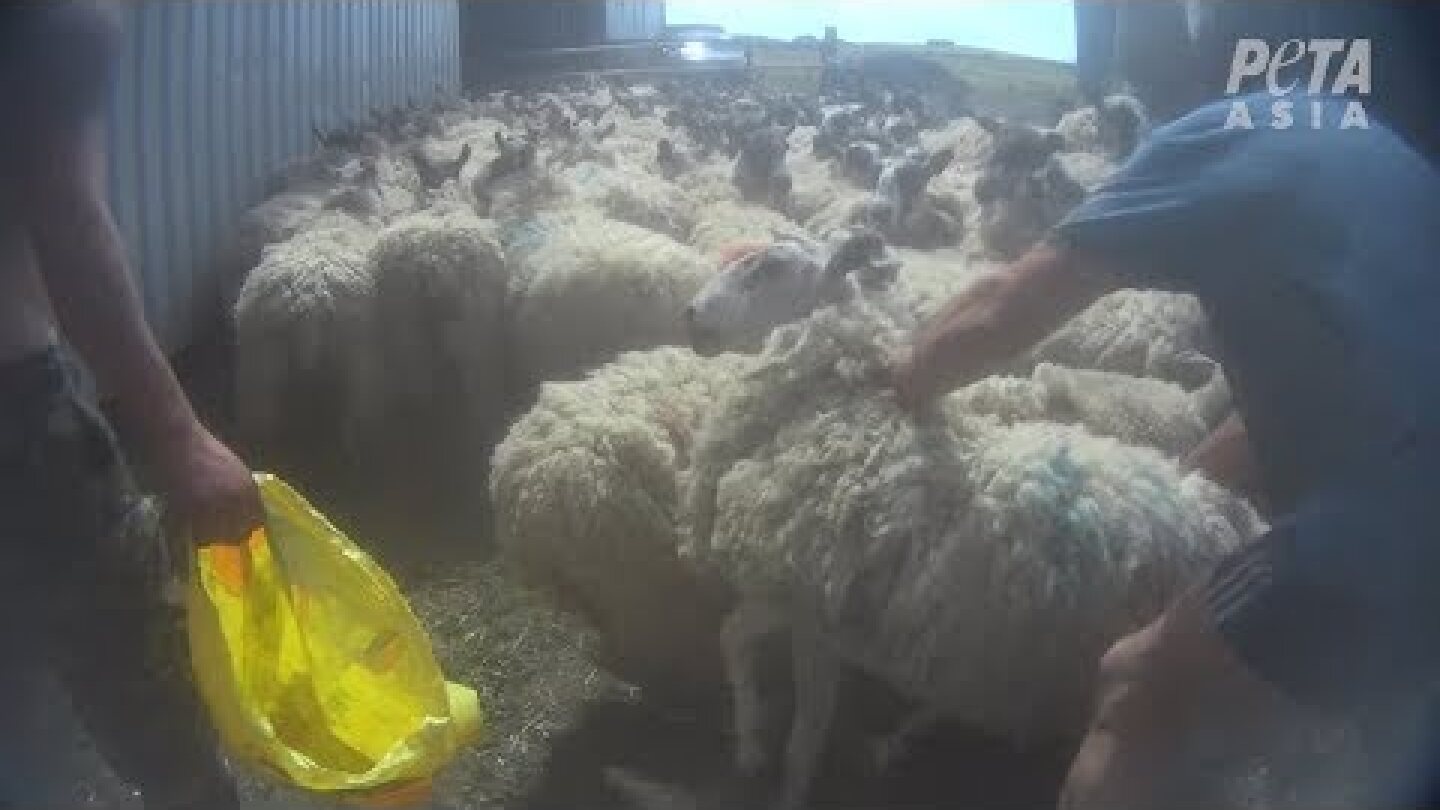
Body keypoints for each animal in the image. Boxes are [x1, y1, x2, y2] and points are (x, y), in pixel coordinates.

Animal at [680, 290, 1266, 810]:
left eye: (768, 267)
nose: (691, 316)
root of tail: (1232, 519)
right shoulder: (799, 602)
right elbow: (736, 640)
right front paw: (752, 746)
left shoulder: (812, 608)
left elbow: (802, 726)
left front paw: (779, 779)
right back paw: (899, 737)